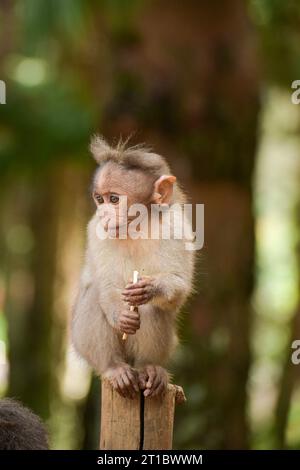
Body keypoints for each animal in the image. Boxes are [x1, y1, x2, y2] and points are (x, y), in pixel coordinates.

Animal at [72, 136, 196, 396]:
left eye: (114, 199)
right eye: (99, 199)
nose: (104, 213)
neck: (136, 226)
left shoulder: (177, 227)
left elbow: (179, 286)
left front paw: (150, 288)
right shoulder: (96, 230)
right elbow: (107, 287)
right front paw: (122, 316)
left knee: (153, 309)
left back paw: (149, 368)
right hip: (80, 342)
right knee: (95, 294)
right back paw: (114, 368)